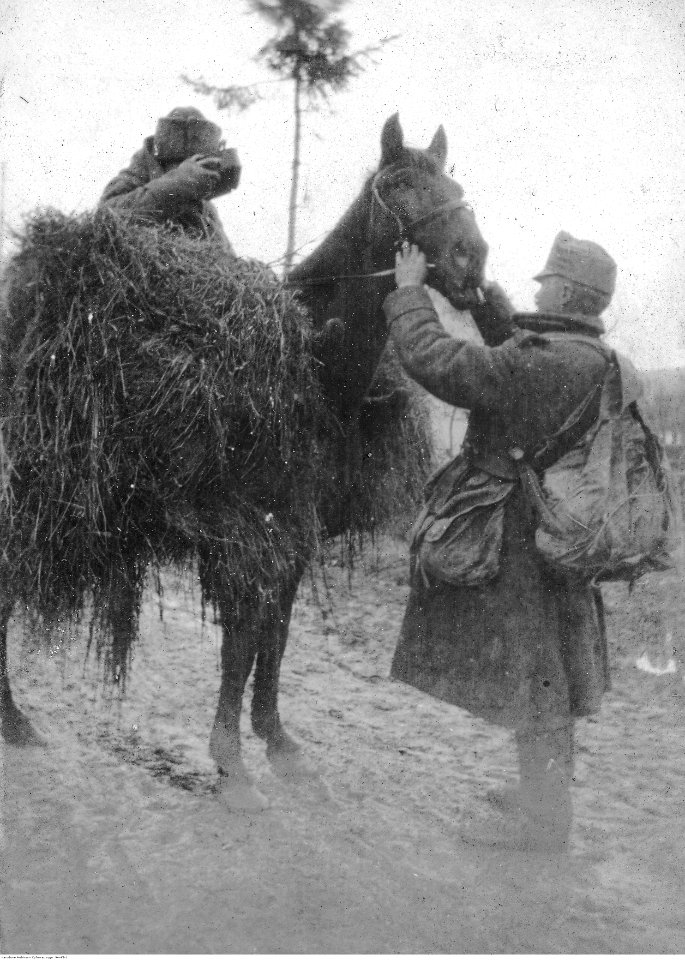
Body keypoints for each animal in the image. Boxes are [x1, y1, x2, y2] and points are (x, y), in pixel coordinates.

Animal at [1, 116, 492, 812]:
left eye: (454, 187)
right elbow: (240, 646)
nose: (470, 260)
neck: (317, 376)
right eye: (398, 185)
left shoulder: (293, 542)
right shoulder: (246, 541)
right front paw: (230, 761)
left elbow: (274, 642)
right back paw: (14, 720)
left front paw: (276, 740)